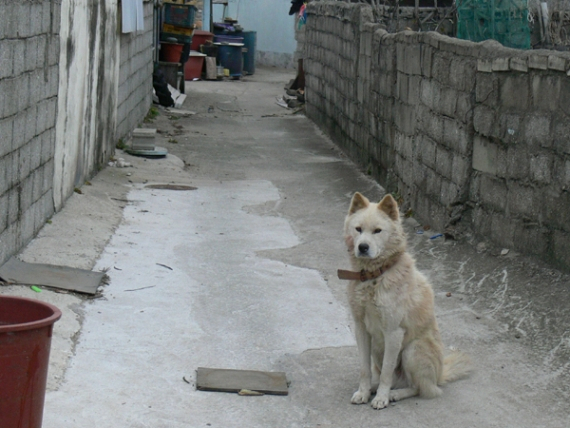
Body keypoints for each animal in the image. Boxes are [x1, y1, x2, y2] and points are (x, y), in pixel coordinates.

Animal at [340, 193, 468, 408]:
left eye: (377, 231)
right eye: (358, 229)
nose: (362, 247)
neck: (375, 276)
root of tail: (439, 375)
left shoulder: (393, 332)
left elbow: (386, 372)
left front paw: (381, 398)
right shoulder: (361, 329)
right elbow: (365, 369)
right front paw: (363, 392)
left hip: (411, 351)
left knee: (418, 388)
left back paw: (394, 394)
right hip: (377, 350)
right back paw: (375, 388)